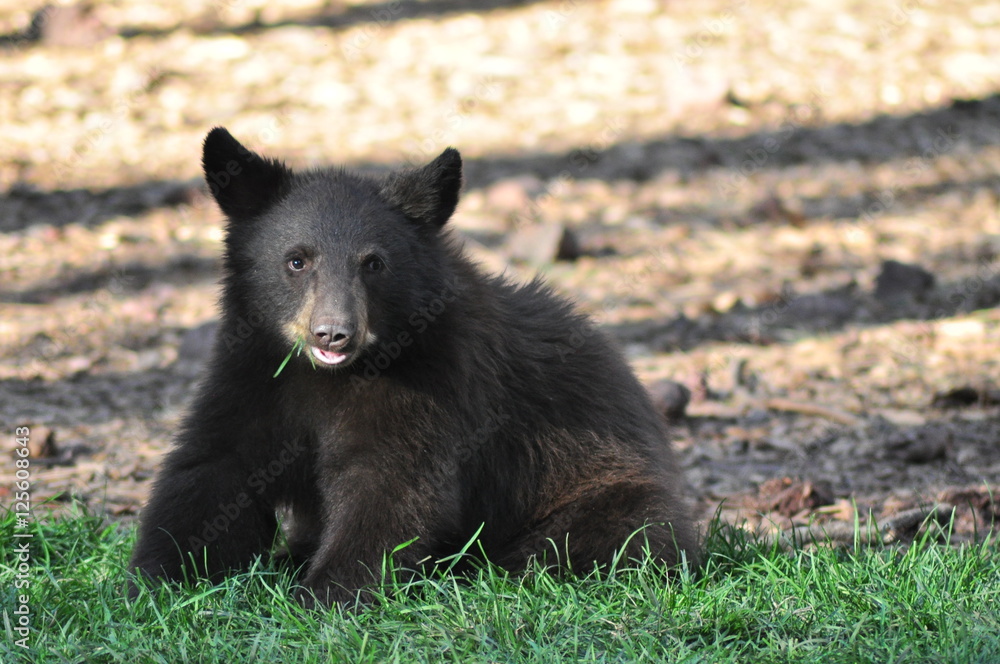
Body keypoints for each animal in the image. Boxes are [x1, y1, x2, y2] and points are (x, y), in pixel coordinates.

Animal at [128, 127, 699, 606]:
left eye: (373, 262)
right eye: (296, 259)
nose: (333, 332)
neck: (331, 376)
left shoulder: (436, 386)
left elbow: (394, 485)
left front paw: (324, 594)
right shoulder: (254, 371)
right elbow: (213, 466)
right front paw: (153, 579)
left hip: (607, 493)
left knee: (598, 542)